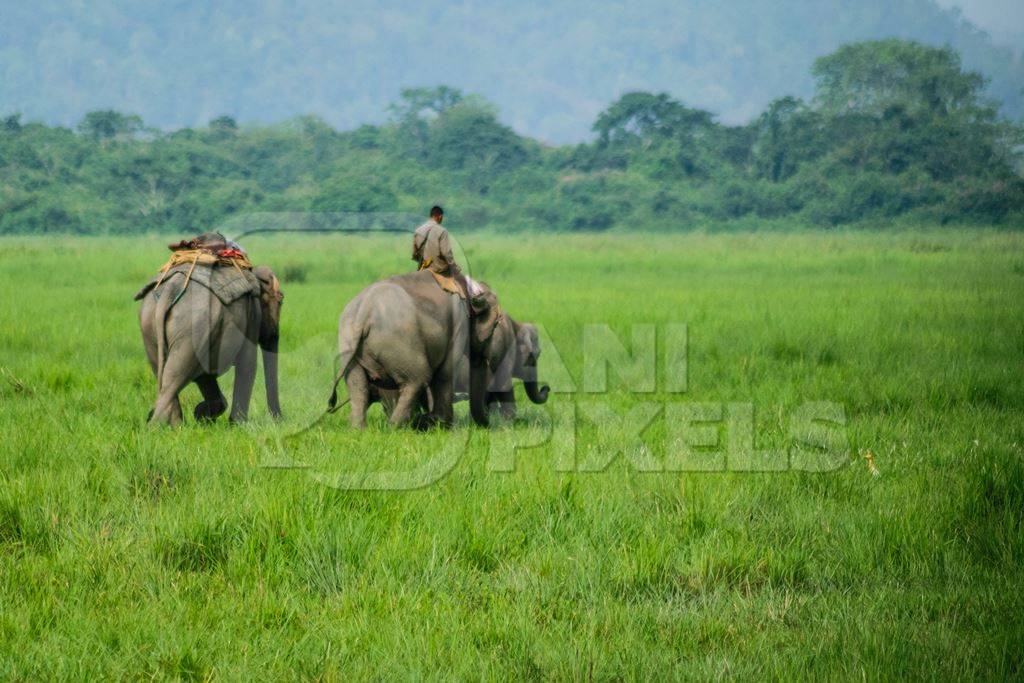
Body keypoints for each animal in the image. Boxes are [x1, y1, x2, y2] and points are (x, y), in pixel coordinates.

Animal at [136, 260, 282, 421]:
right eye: (280, 300)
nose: (279, 420)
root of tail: (171, 289)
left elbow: (204, 375)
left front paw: (202, 414)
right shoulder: (252, 316)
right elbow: (248, 365)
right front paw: (234, 424)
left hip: (149, 325)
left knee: (165, 375)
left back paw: (175, 425)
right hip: (194, 327)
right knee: (174, 379)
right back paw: (159, 424)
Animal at [329, 270, 501, 428]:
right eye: (495, 325)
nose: (487, 424)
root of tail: (364, 314)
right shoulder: (459, 325)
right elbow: (445, 373)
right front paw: (439, 423)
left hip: (348, 346)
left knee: (358, 386)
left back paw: (360, 429)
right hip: (399, 341)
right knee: (417, 378)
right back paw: (397, 427)